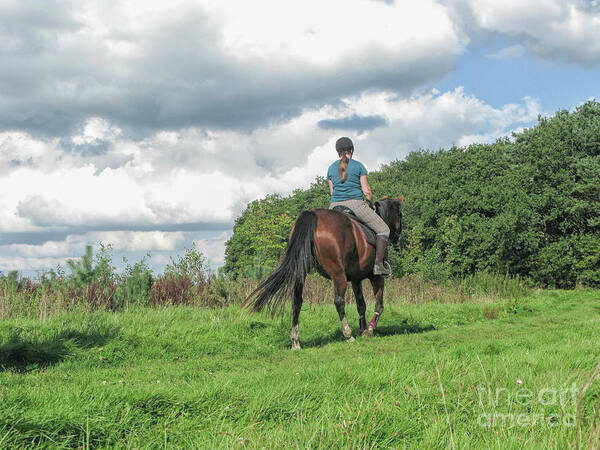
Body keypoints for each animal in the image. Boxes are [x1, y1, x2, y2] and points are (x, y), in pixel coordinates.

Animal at [243, 198, 404, 352]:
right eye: (400, 215)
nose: (398, 239)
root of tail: (313, 214)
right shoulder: (376, 277)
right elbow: (379, 305)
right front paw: (369, 329)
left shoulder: (356, 279)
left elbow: (361, 305)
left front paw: (363, 329)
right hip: (338, 274)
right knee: (339, 301)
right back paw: (348, 334)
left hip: (301, 273)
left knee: (297, 301)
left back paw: (295, 341)